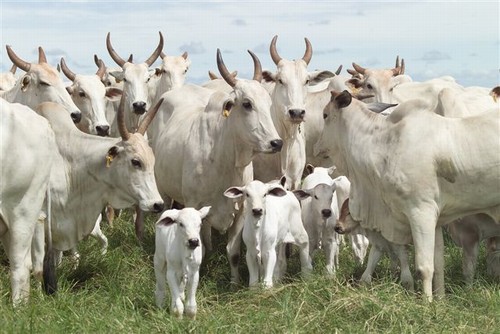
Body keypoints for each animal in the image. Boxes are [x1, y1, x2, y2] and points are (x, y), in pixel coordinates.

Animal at [152, 49, 282, 284]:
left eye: (268, 104)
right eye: (247, 104)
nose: (276, 143)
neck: (225, 161)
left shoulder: (241, 211)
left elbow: (233, 252)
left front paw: (234, 282)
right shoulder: (195, 206)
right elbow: (200, 248)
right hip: (163, 192)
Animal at [316, 90, 500, 300]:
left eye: (325, 115)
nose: (317, 147)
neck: (382, 144)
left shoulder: (421, 212)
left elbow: (424, 267)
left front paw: (427, 303)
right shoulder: (436, 220)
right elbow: (438, 265)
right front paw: (440, 299)